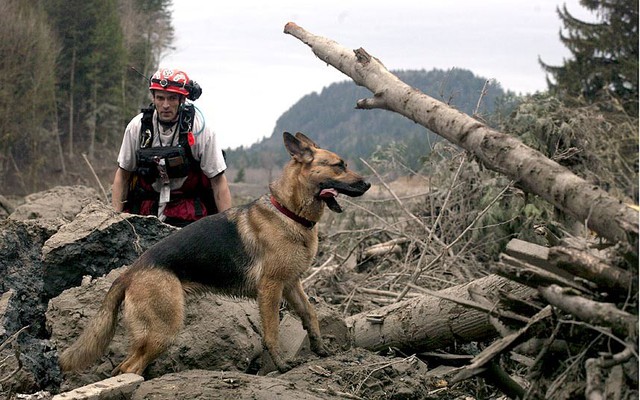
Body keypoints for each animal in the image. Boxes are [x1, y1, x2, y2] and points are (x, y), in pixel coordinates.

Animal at [61, 131, 370, 376]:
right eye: (339, 166)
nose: (367, 184)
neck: (289, 212)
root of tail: (130, 273)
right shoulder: (271, 289)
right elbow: (272, 331)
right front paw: (281, 365)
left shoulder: (291, 284)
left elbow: (310, 315)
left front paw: (321, 348)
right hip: (163, 331)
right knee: (128, 367)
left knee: (124, 367)